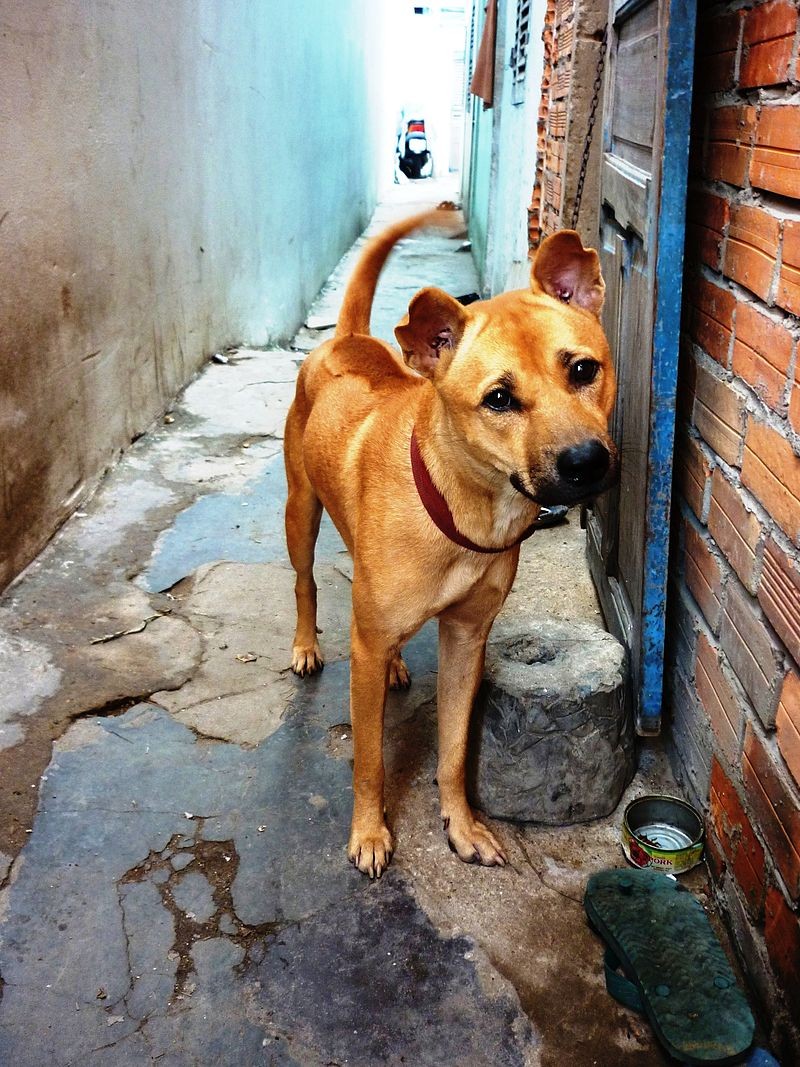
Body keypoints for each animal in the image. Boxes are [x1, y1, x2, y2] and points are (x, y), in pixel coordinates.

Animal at [285, 208, 618, 874]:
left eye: (582, 370)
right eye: (499, 398)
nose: (586, 462)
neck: (465, 508)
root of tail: (345, 339)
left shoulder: (467, 638)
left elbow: (454, 751)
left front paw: (461, 826)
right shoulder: (368, 645)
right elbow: (369, 760)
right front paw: (369, 834)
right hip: (299, 511)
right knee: (306, 583)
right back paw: (307, 646)